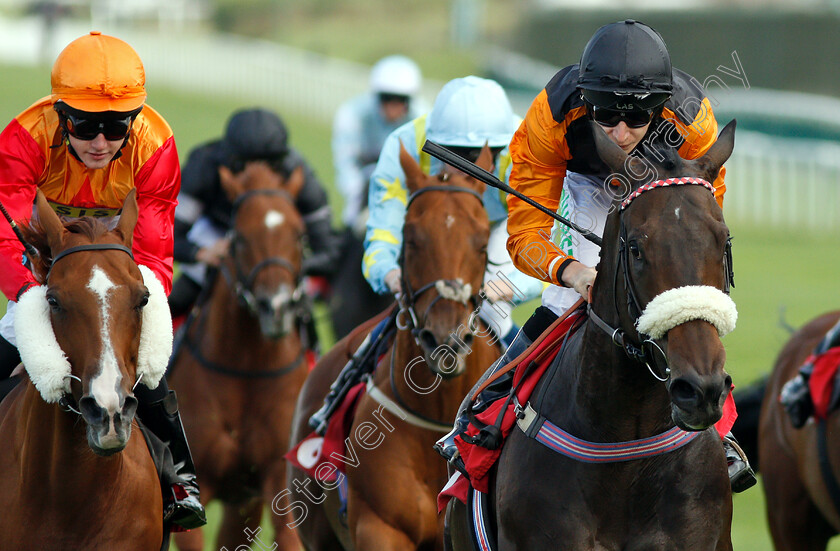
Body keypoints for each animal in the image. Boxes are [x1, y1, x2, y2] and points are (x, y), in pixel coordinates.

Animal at [170, 163, 312, 551]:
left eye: (299, 235)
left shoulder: (275, 483)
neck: (246, 370)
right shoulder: (193, 490)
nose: (276, 308)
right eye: (240, 238)